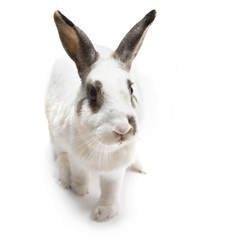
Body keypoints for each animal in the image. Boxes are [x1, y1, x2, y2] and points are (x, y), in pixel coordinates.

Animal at [45, 8, 157, 221]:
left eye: (131, 90)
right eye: (92, 93)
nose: (123, 128)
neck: (105, 149)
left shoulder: (115, 172)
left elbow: (110, 190)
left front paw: (104, 213)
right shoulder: (76, 158)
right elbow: (79, 173)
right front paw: (80, 190)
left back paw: (139, 166)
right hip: (54, 133)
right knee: (60, 154)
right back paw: (64, 178)